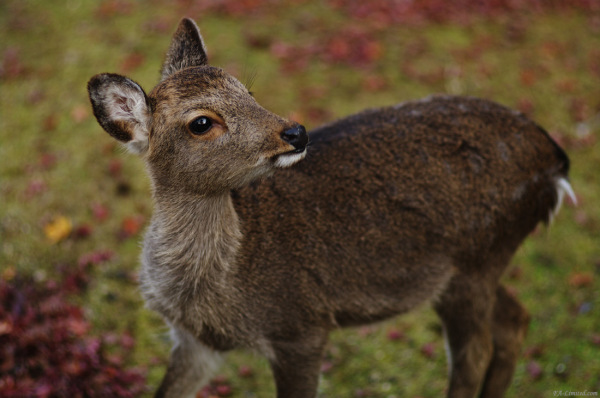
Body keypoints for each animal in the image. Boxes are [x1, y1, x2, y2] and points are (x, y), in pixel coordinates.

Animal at [86, 17, 576, 396]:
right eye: (202, 122)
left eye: (247, 91)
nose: (296, 132)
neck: (221, 289)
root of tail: (555, 162)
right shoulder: (195, 341)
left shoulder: (301, 326)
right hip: (476, 268)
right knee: (515, 319)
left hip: (474, 263)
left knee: (475, 352)